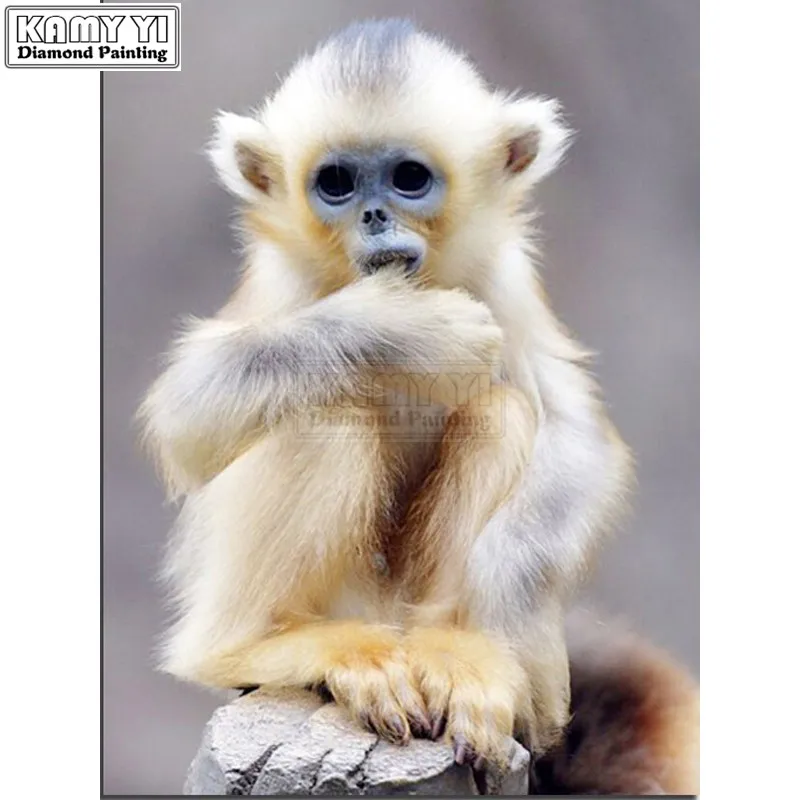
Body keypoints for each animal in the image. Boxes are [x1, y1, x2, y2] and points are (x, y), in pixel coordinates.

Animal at [138, 19, 697, 793]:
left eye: (409, 178)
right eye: (336, 184)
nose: (374, 215)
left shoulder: (503, 274)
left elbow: (576, 431)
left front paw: (505, 614)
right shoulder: (285, 278)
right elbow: (188, 412)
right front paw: (401, 328)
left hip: (406, 603)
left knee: (501, 409)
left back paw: (457, 651)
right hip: (323, 596)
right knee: (326, 408)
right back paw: (270, 645)